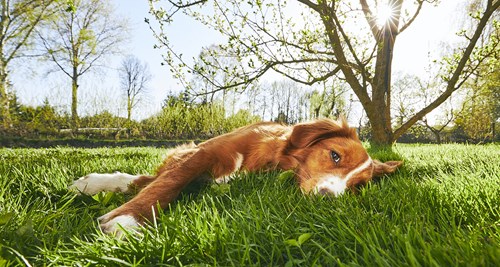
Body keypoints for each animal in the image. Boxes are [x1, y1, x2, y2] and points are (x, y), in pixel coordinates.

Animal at [71, 120, 402, 237]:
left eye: (357, 188)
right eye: (334, 156)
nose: (328, 199)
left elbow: (160, 182)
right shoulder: (203, 154)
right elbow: (167, 183)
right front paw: (128, 219)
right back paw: (92, 182)